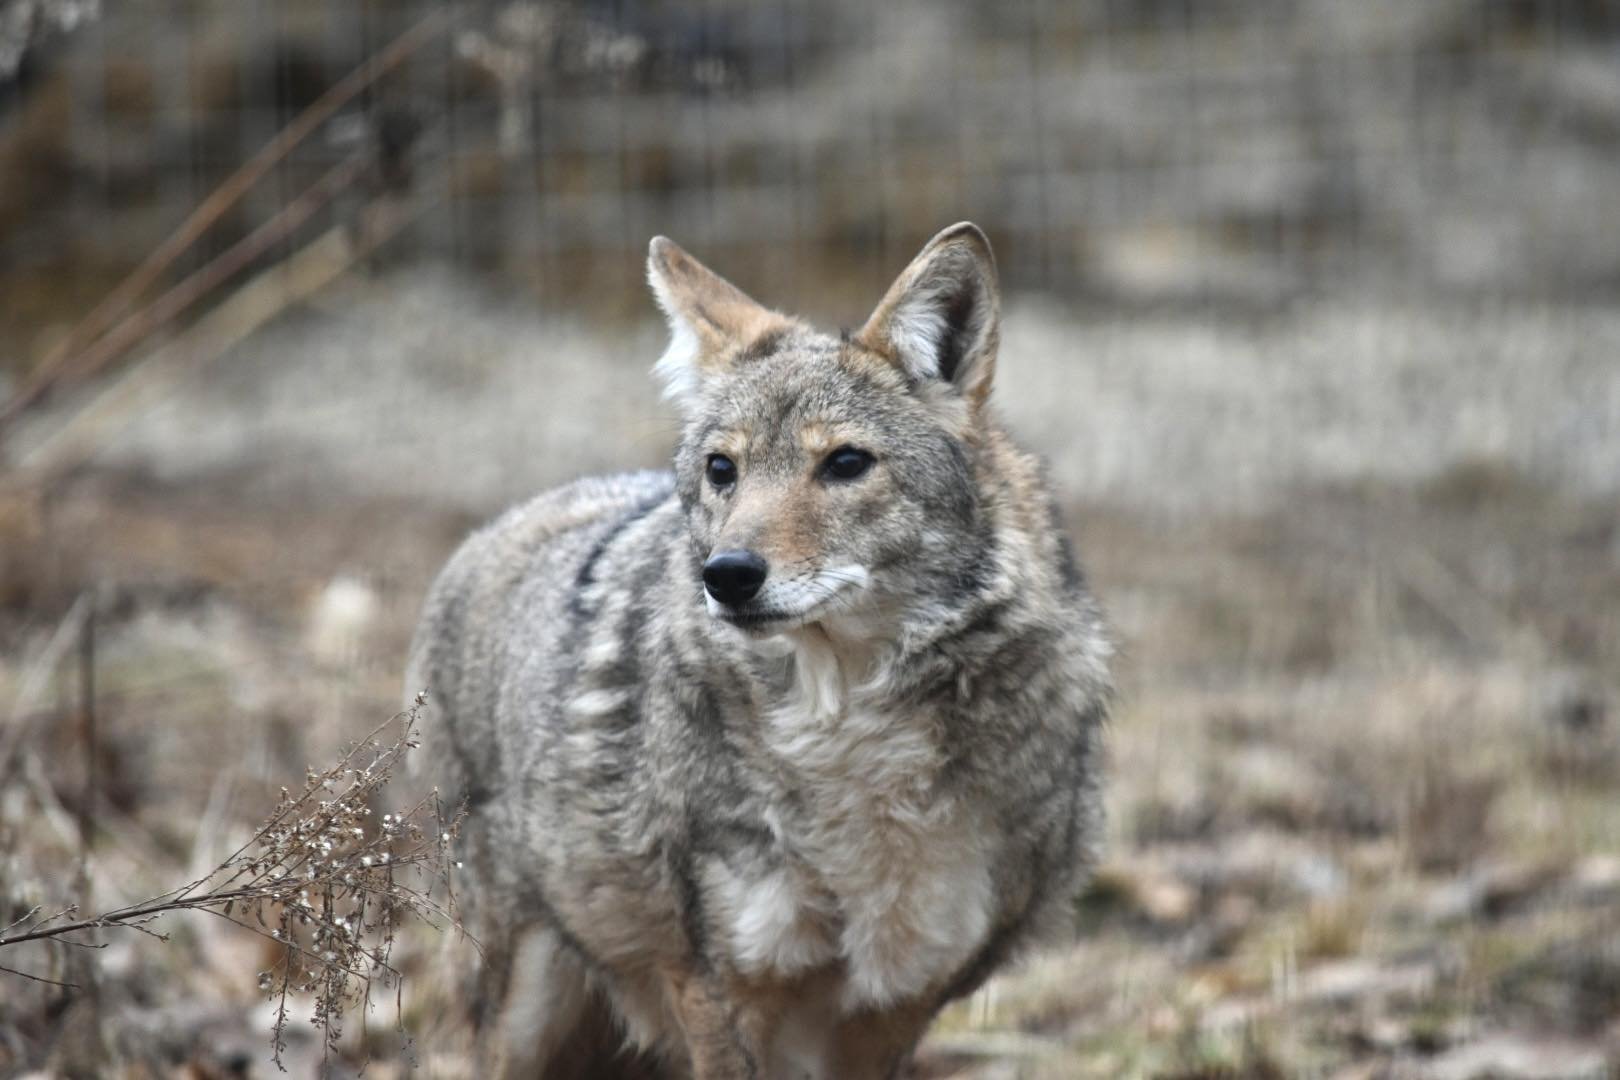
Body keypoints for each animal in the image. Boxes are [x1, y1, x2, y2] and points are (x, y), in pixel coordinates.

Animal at [406, 223, 1112, 1079]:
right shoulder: (719, 986)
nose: (728, 575)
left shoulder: (897, 1003)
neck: (848, 741)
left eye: (845, 463)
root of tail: (487, 531)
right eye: (724, 470)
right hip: (521, 1011)